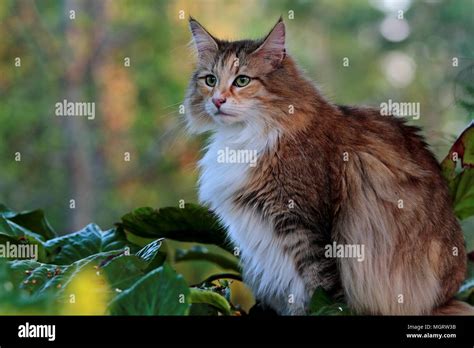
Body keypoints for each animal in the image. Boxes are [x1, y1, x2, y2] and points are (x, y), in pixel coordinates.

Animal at [184, 16, 470, 316]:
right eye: (210, 80)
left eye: (242, 80)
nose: (217, 100)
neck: (245, 136)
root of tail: (448, 297)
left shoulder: (306, 228)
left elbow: (323, 290)